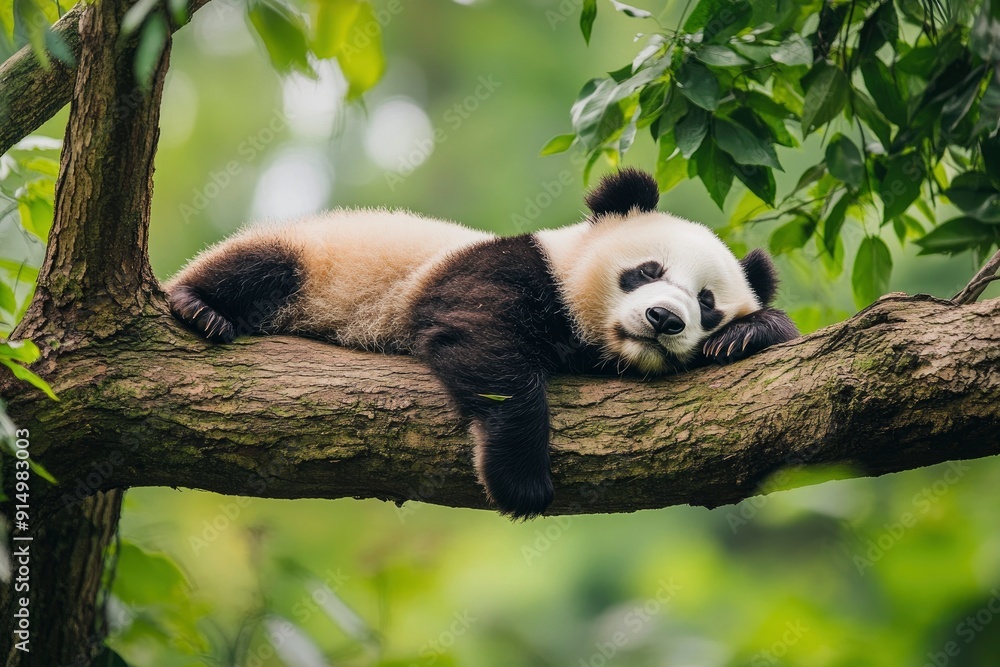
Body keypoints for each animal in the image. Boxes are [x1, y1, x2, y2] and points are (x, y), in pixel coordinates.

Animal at [166, 168, 798, 519]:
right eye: (647, 270)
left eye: (708, 303)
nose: (665, 318)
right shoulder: (505, 268)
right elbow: (483, 341)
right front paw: (521, 481)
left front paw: (748, 334)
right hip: (312, 258)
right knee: (258, 267)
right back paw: (202, 309)